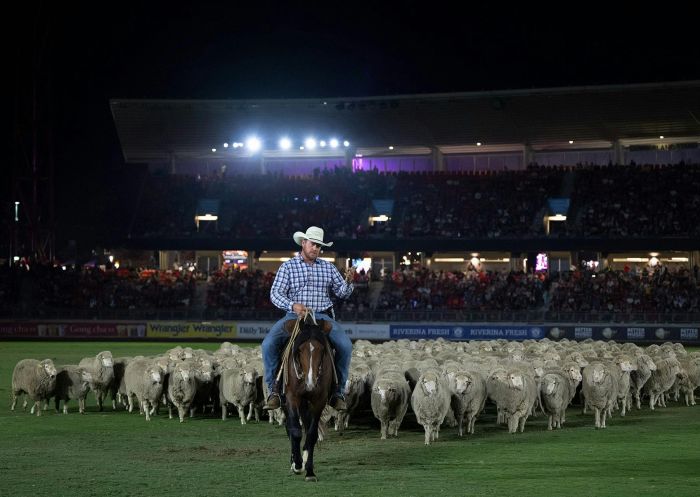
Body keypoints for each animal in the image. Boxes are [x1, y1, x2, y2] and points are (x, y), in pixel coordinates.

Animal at [280, 312, 335, 482]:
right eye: (299, 349)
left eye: (322, 349)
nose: (311, 383)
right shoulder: (292, 398)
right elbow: (296, 431)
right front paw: (297, 464)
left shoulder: (319, 401)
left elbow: (311, 434)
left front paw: (310, 471)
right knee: (290, 428)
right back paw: (294, 462)